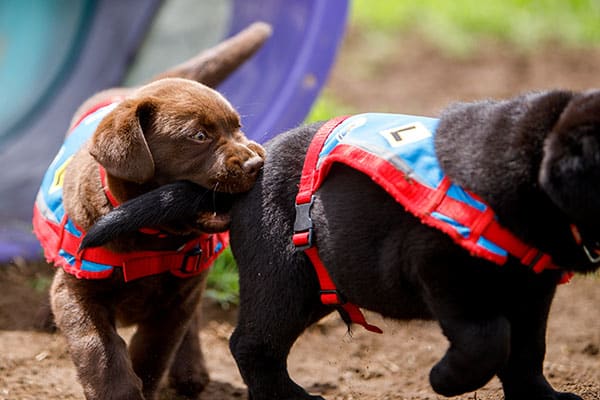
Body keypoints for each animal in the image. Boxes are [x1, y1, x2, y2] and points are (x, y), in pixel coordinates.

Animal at [82, 90, 600, 400]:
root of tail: (250, 175)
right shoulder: (436, 268)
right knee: (251, 345)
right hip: (282, 278)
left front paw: (542, 398)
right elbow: (489, 337)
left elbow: (527, 351)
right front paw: (447, 380)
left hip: (317, 284)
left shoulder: (533, 290)